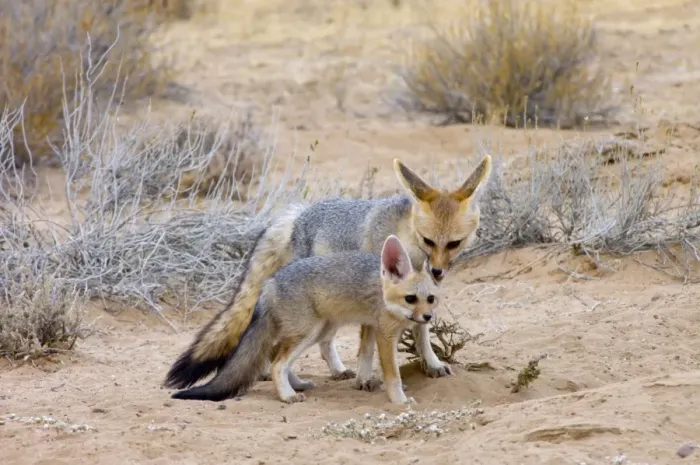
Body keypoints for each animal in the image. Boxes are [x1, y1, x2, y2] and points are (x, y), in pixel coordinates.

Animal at [170, 235, 440, 404]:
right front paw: (400, 401)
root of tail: (270, 282)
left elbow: (365, 354)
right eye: (410, 299)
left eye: (431, 299)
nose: (427, 317)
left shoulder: (372, 326)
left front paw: (366, 382)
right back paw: (287, 396)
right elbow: (393, 375)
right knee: (277, 363)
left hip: (316, 332)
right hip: (308, 333)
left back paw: (296, 386)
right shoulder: (385, 335)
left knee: (275, 356)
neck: (384, 293)